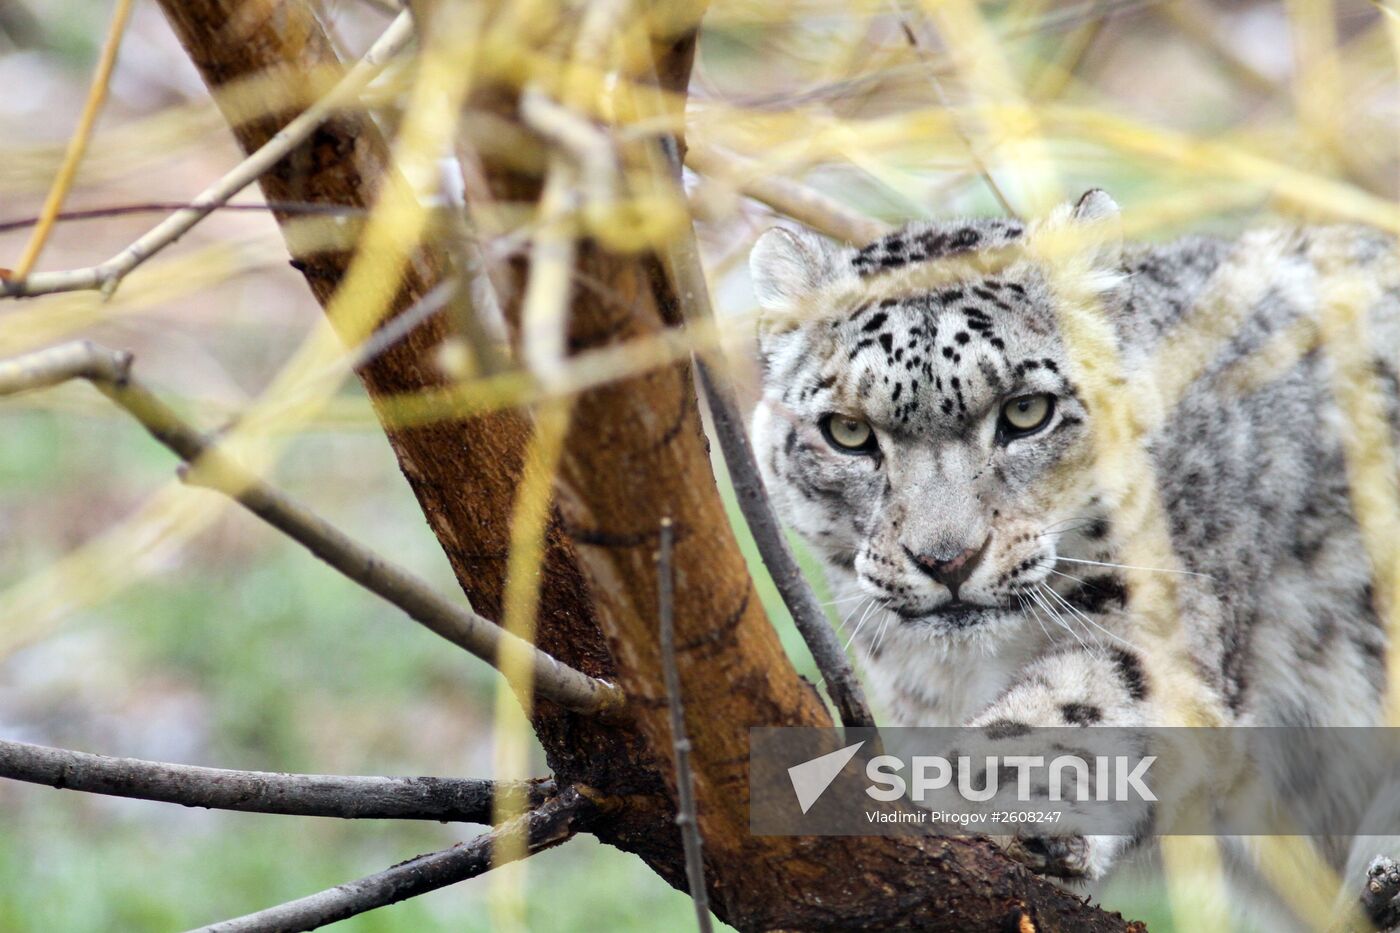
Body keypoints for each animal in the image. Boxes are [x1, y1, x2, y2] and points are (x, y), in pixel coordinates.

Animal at [750, 189, 1400, 924]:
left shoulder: (1160, 625)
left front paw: (980, 799)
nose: (947, 559)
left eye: (1027, 411)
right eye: (847, 431)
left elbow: (1073, 703)